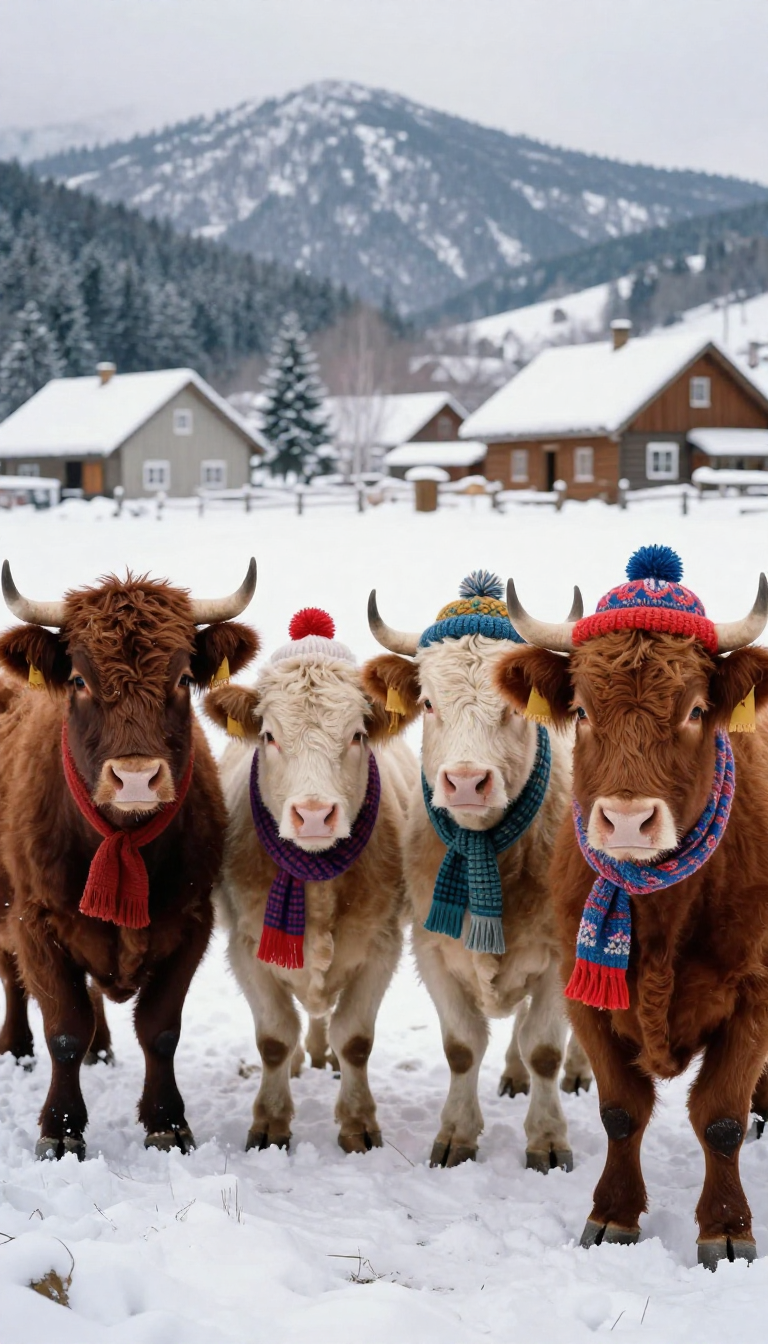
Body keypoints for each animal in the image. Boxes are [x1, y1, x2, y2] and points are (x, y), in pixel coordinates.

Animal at [0, 560, 259, 1158]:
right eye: (78, 679)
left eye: (183, 678)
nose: (136, 778)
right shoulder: (35, 920)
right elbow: (63, 1028)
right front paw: (61, 1129)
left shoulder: (191, 923)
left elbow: (161, 1028)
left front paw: (167, 1121)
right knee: (11, 978)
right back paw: (16, 1048)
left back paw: (103, 1047)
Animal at [204, 606, 418, 1155]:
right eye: (269, 736)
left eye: (357, 735)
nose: (315, 815)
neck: (316, 884)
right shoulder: (247, 945)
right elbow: (275, 1037)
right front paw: (270, 1123)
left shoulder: (382, 944)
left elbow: (356, 1038)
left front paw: (358, 1123)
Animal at [362, 571, 592, 1172]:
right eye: (427, 701)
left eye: (513, 706)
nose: (466, 781)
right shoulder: (433, 949)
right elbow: (463, 1048)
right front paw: (456, 1135)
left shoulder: (559, 953)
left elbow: (544, 1048)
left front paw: (547, 1139)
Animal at [495, 544, 768, 1267]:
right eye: (583, 711)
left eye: (697, 710)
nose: (625, 820)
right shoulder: (583, 993)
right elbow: (621, 1110)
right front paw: (613, 1215)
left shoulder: (755, 994)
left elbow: (720, 1116)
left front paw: (726, 1227)